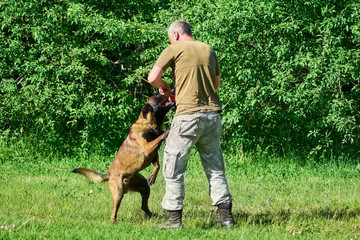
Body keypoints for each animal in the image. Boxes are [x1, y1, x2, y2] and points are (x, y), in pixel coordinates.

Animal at [71, 94, 174, 223]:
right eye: (158, 95)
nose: (172, 91)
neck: (148, 124)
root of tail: (109, 175)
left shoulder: (152, 154)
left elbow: (157, 164)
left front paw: (152, 176)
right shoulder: (147, 148)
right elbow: (160, 138)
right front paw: (167, 130)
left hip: (144, 187)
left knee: (143, 206)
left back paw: (152, 216)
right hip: (118, 193)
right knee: (114, 212)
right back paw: (114, 222)